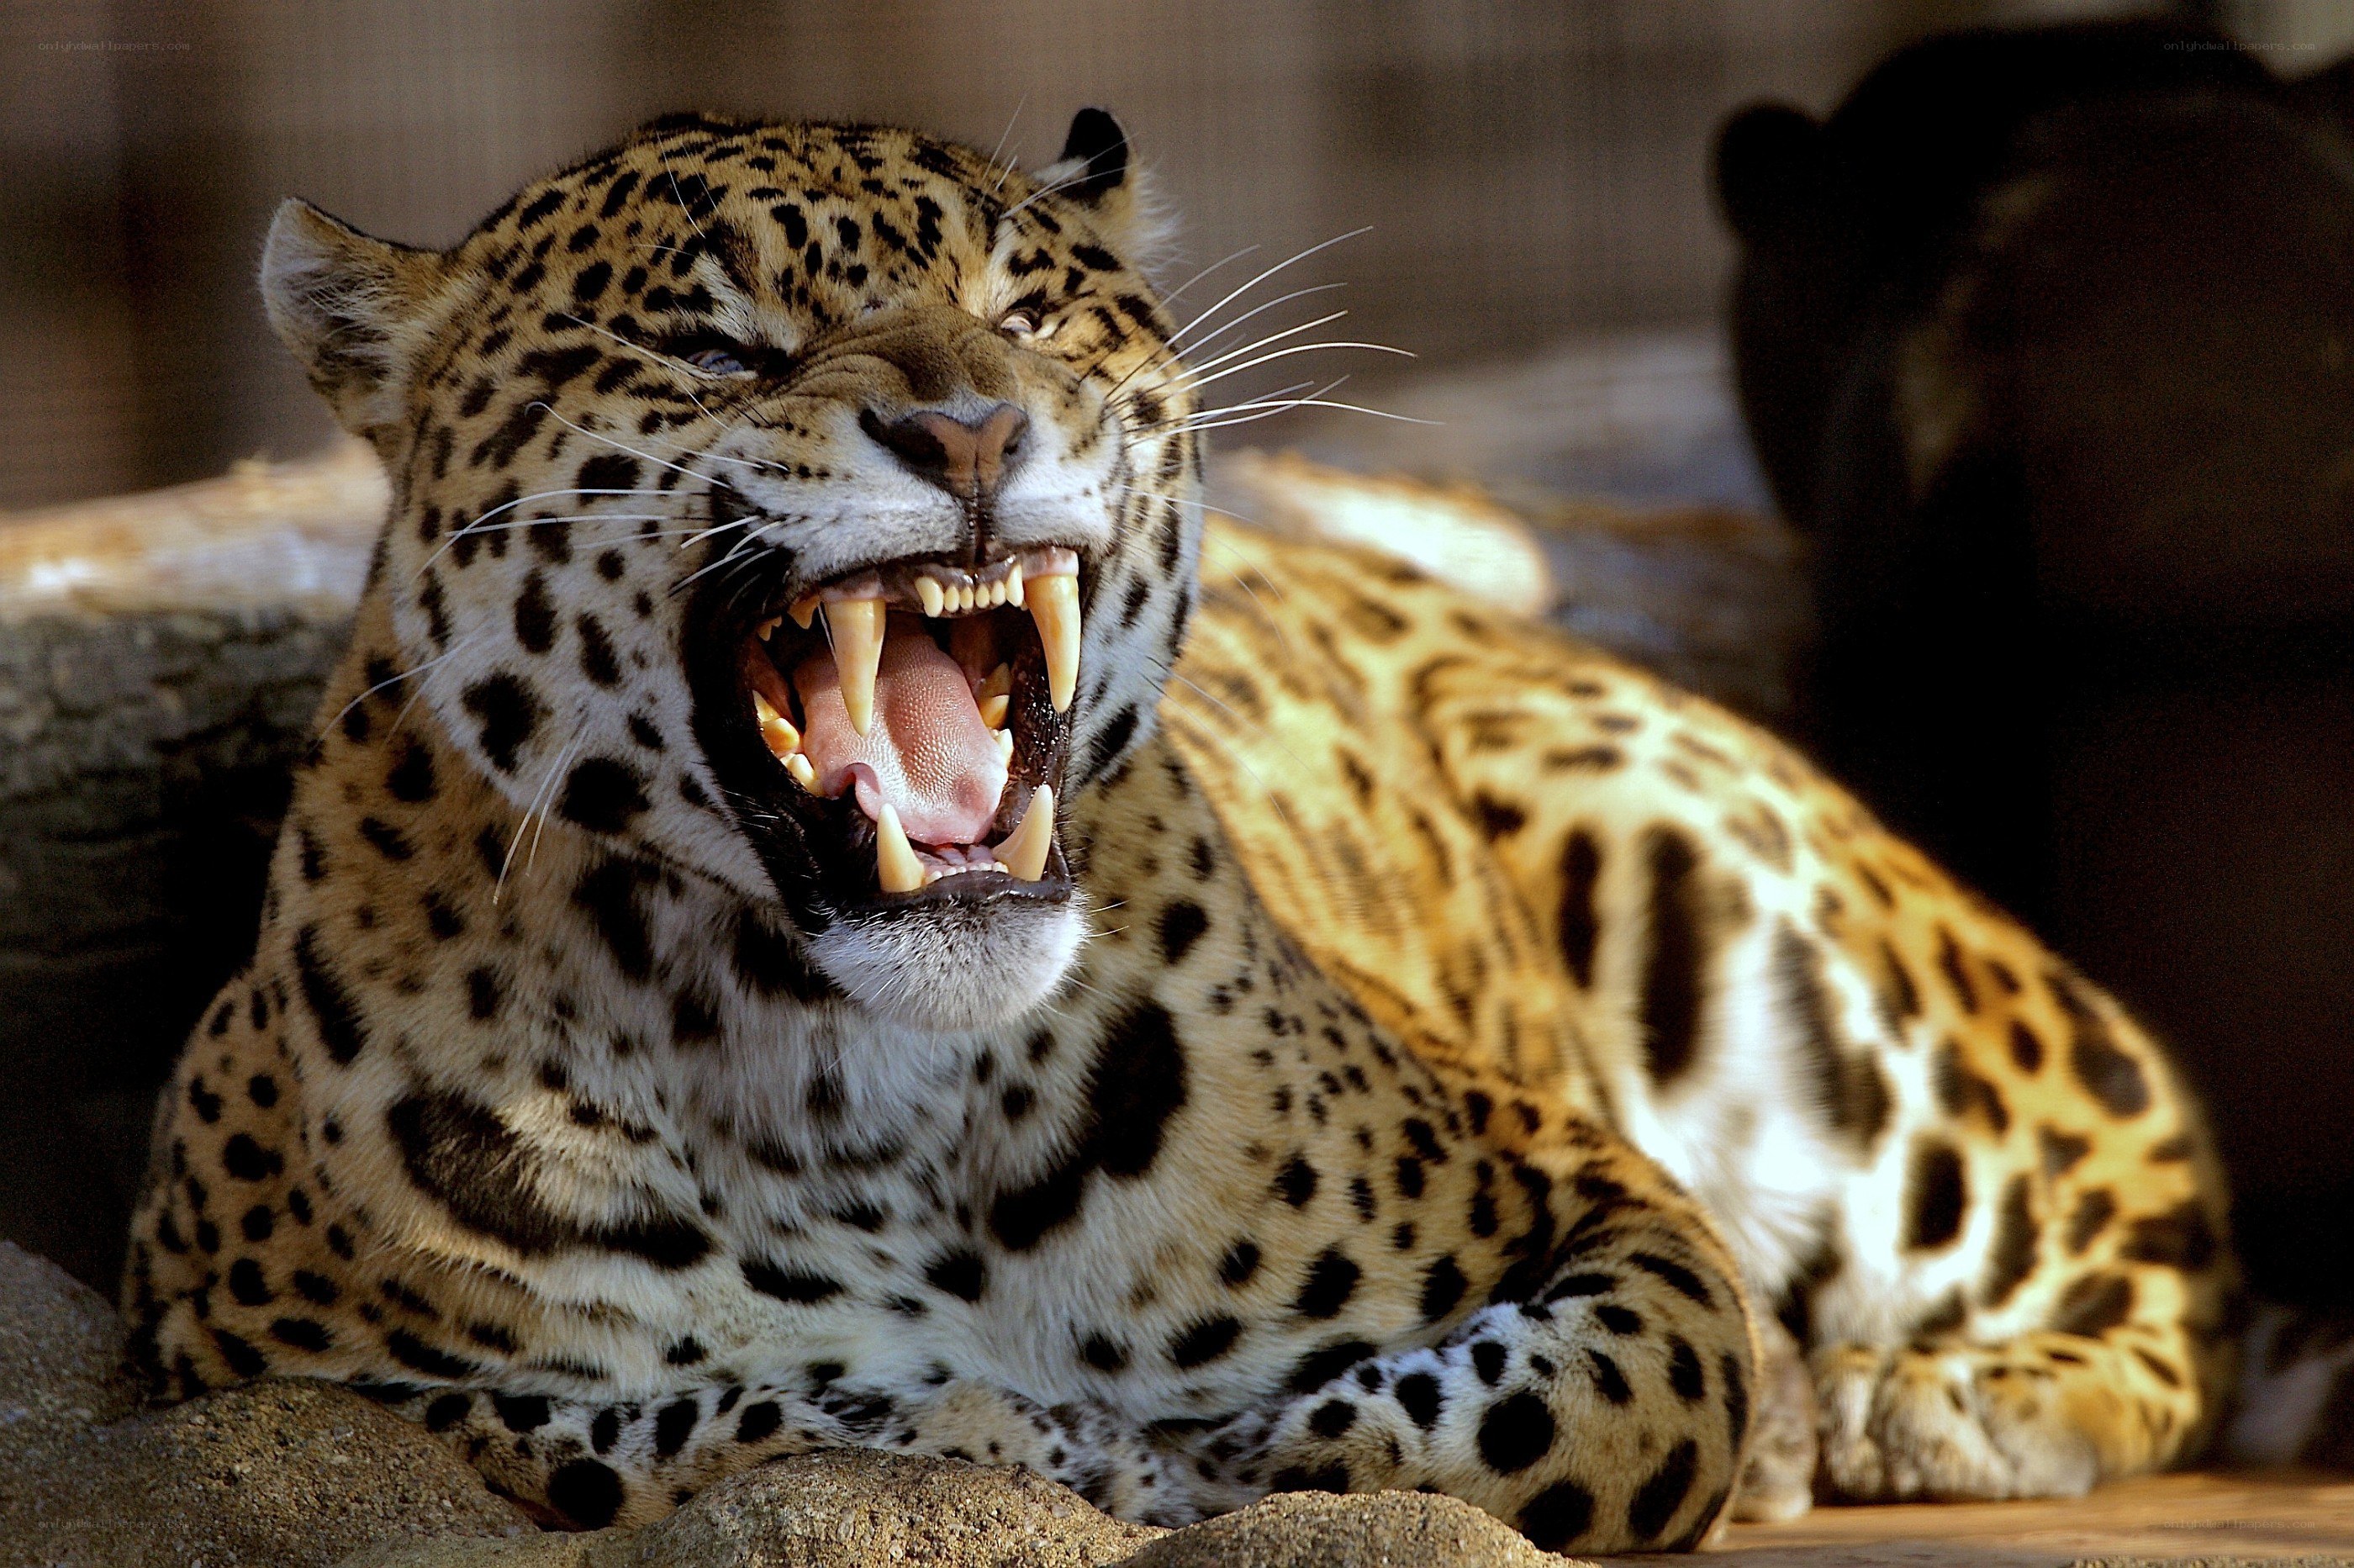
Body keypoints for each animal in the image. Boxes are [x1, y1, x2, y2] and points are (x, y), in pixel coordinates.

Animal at [121, 109, 2237, 1549]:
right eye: (715, 345)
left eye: (1024, 307)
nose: (973, 428)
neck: (851, 1078)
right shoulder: (264, 1356)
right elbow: (719, 1417)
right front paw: (1043, 1439)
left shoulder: (1606, 1195)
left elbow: (1570, 1406)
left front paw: (1222, 1448)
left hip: (1740, 902)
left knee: (2157, 1226)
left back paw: (1907, 1402)